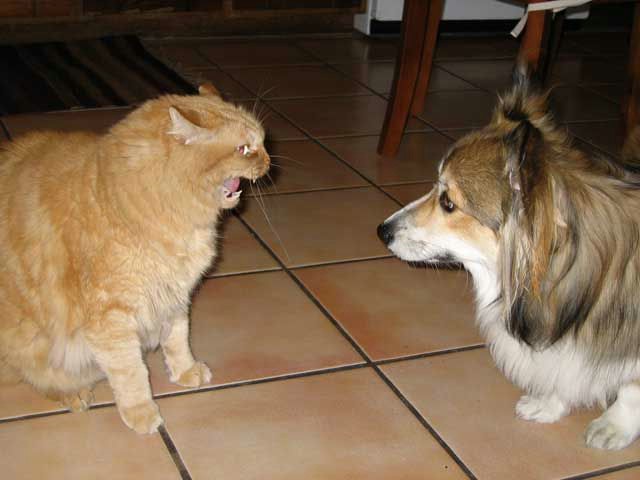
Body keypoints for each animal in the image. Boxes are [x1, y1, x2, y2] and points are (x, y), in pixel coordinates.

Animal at [0, 83, 270, 433]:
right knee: (39, 376)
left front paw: (185, 371)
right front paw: (141, 412)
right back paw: (75, 393)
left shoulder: (173, 295)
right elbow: (131, 373)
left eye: (262, 142)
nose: (268, 162)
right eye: (244, 148)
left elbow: (178, 340)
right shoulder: (111, 319)